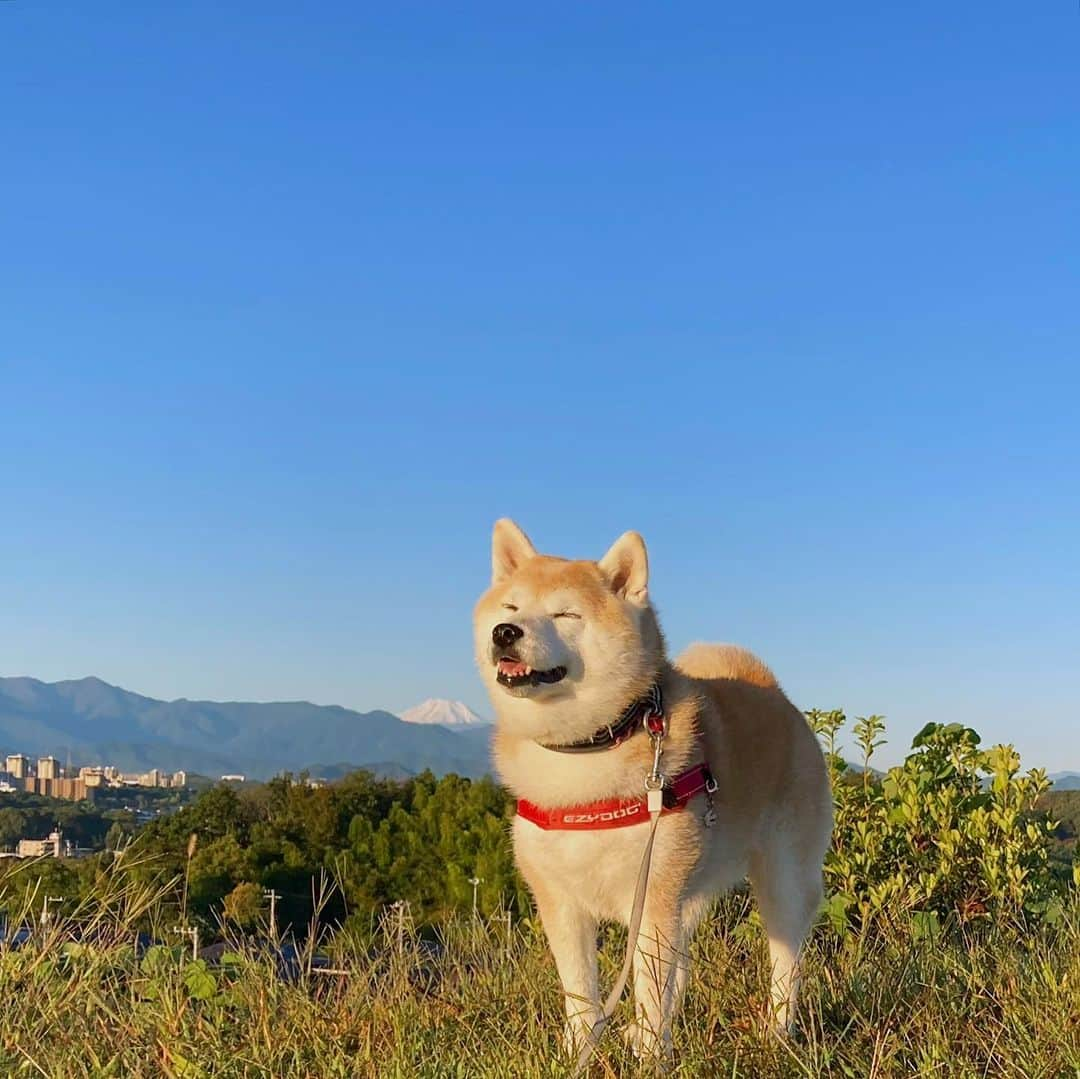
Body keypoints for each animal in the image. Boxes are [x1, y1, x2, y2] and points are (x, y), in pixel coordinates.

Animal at [475, 518, 833, 1058]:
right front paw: (582, 1051)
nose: (505, 633)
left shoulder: (653, 895)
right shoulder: (561, 899)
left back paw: (776, 1032)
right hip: (687, 888)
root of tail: (775, 694)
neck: (585, 752)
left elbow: (647, 986)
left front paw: (647, 1056)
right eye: (511, 609)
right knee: (679, 967)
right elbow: (581, 992)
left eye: (565, 613)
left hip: (782, 878)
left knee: (784, 963)